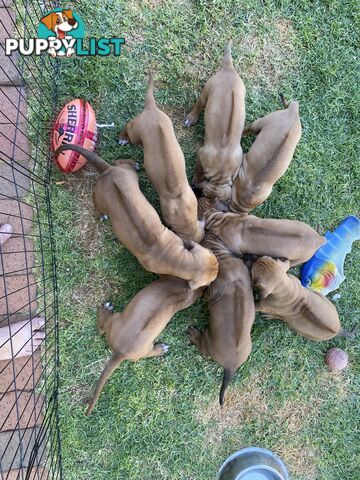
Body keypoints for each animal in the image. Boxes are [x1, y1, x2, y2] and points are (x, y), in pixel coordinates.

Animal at [53, 144, 217, 288]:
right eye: (210, 281)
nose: (218, 268)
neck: (175, 258)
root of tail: (108, 171)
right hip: (100, 196)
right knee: (95, 198)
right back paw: (101, 214)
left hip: (127, 174)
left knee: (120, 163)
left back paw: (134, 164)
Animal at [85, 276, 202, 414]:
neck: (183, 289)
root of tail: (119, 353)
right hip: (137, 338)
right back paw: (160, 349)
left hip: (116, 321)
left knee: (102, 329)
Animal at [184, 39, 246, 201]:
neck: (221, 175)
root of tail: (229, 69)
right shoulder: (201, 155)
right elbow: (198, 171)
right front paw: (196, 179)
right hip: (207, 91)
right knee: (199, 104)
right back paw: (191, 118)